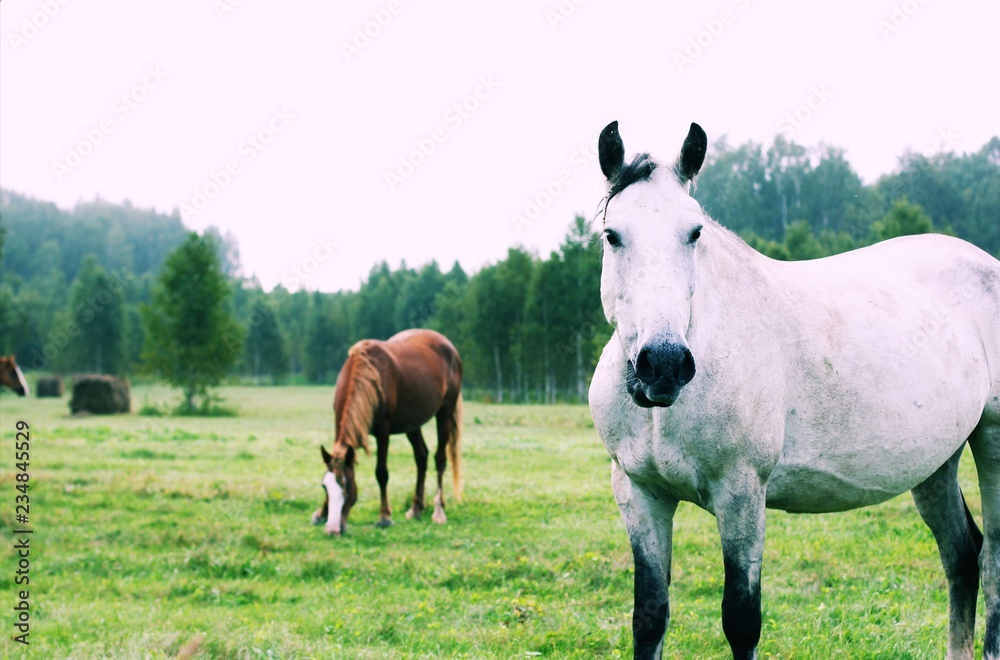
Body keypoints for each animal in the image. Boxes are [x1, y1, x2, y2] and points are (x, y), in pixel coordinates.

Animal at [312, 328, 464, 536]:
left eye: (348, 485)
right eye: (324, 486)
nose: (334, 529)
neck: (367, 374)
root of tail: (449, 347)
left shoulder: (383, 431)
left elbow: (381, 472)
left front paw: (384, 516)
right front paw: (321, 513)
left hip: (445, 414)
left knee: (439, 459)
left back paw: (438, 510)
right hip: (412, 424)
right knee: (421, 456)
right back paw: (416, 508)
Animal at [588, 120, 1000, 659]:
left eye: (694, 233)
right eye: (612, 235)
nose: (664, 364)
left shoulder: (742, 494)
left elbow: (741, 620)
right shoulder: (640, 493)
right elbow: (650, 616)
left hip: (992, 442)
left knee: (992, 561)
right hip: (936, 463)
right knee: (962, 556)